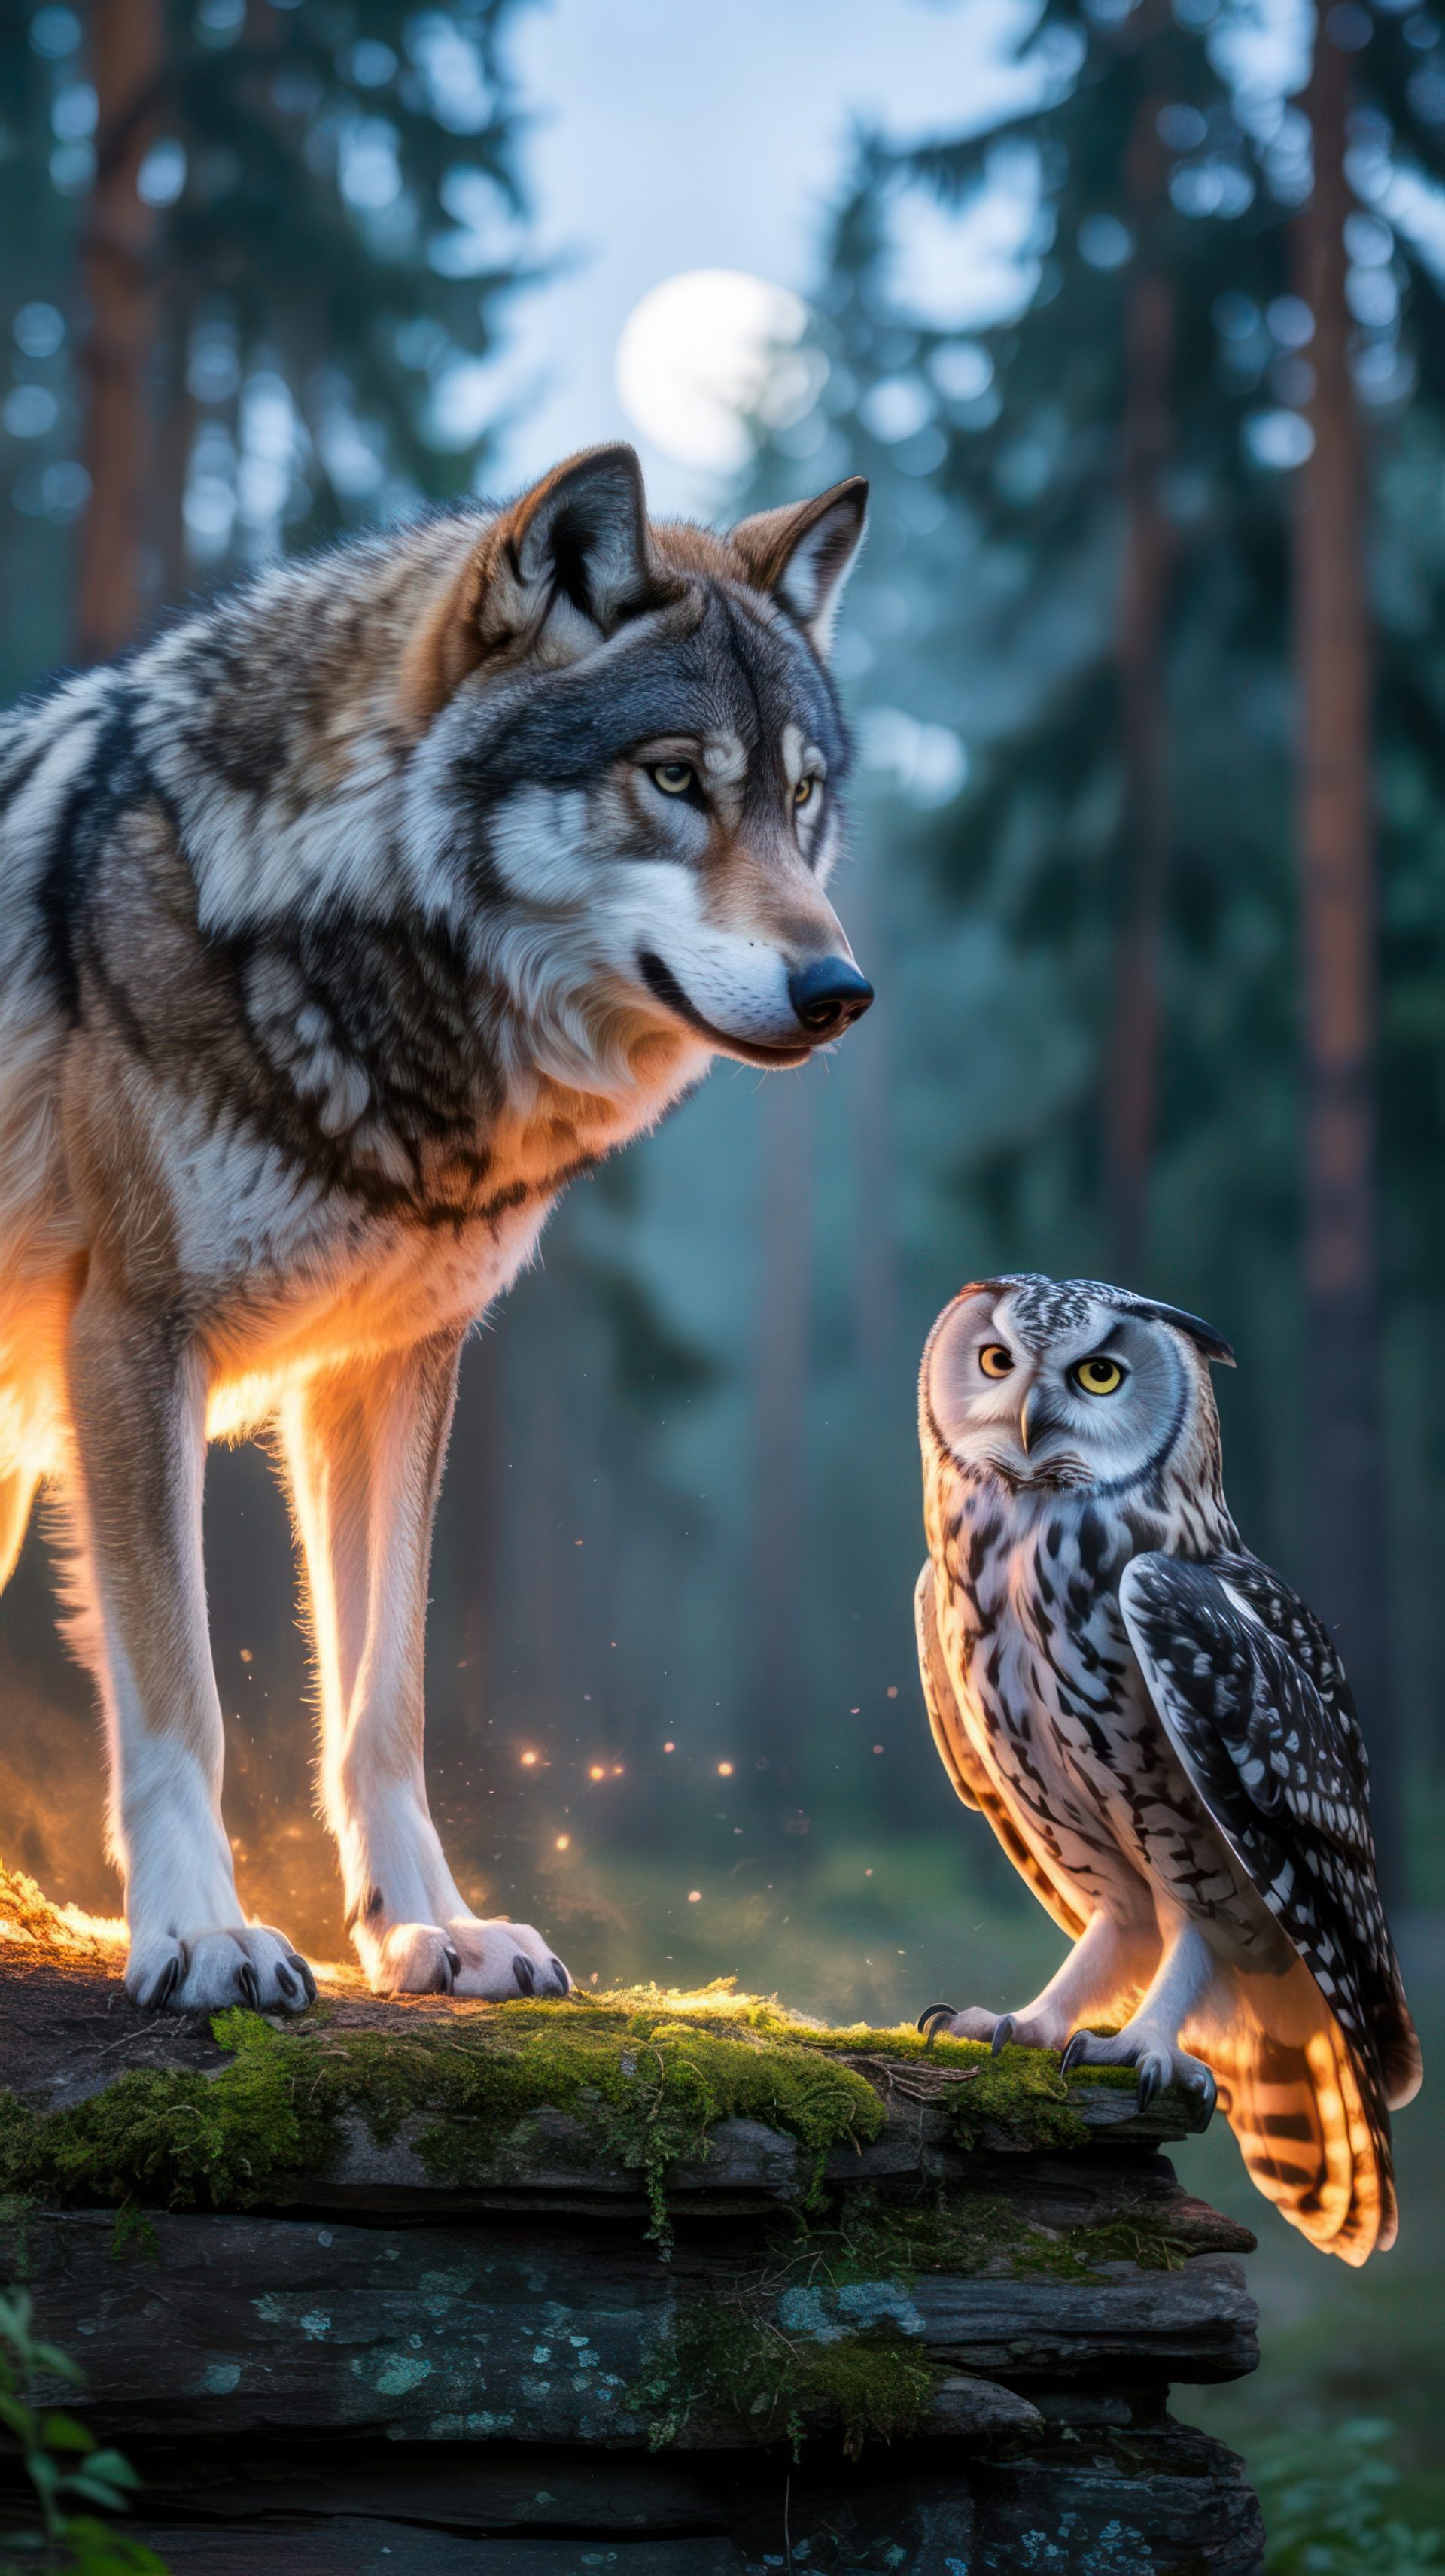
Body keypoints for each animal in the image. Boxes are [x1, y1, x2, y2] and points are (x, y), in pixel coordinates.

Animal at [0, 444, 872, 2011]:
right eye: (673, 779)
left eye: (801, 796)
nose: (841, 989)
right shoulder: (133, 1341)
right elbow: (180, 1692)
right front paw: (200, 1930)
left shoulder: (389, 1367)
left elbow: (384, 1700)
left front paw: (432, 1927)